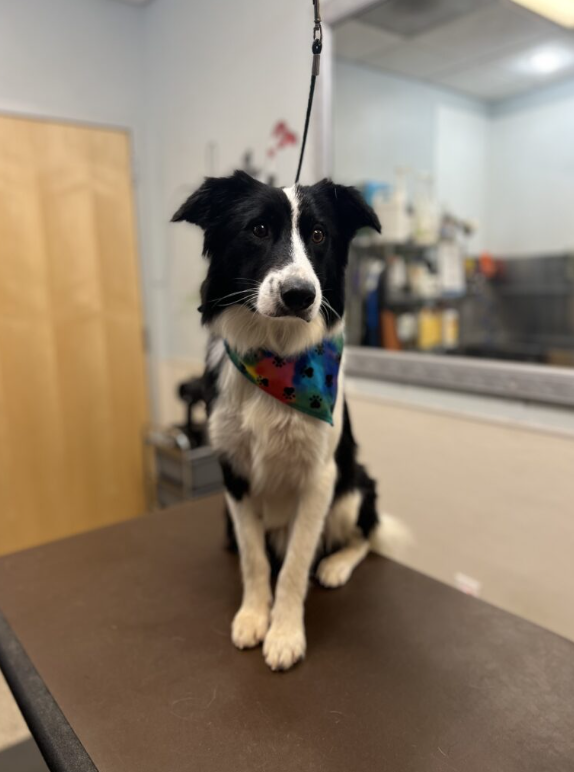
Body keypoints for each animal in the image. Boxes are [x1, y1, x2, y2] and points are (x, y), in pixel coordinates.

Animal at [173, 170, 384, 668]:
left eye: (319, 234)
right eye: (259, 229)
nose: (299, 294)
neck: (278, 355)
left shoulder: (321, 479)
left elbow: (294, 564)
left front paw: (285, 632)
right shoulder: (234, 474)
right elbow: (254, 559)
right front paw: (254, 615)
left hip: (353, 489)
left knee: (365, 534)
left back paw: (335, 564)